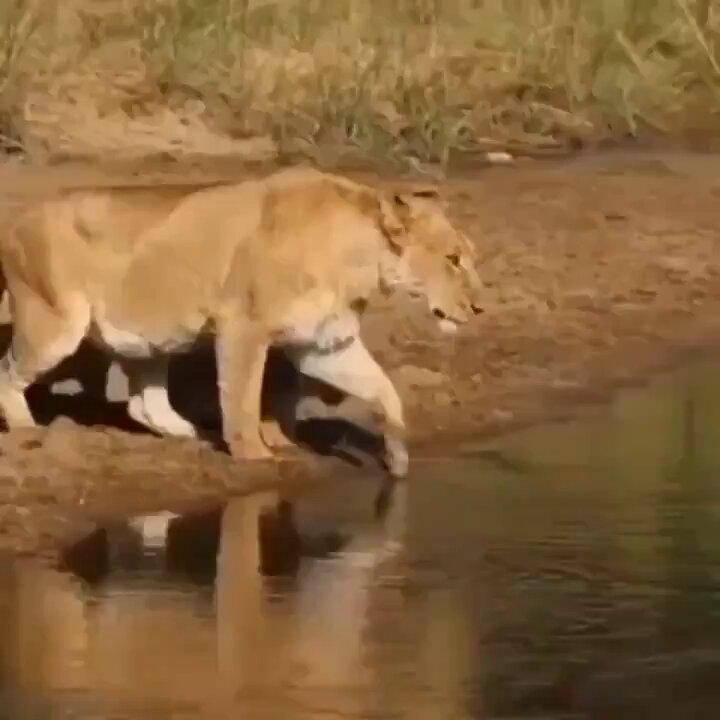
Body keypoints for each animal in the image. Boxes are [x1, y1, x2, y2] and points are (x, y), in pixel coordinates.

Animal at [0, 166, 483, 477]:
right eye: (453, 259)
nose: (480, 308)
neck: (359, 261)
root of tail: (17, 220)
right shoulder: (243, 325)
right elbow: (244, 395)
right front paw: (253, 453)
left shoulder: (324, 342)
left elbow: (386, 391)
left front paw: (397, 457)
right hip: (56, 322)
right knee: (8, 371)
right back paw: (27, 431)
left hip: (150, 336)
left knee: (145, 405)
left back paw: (194, 432)